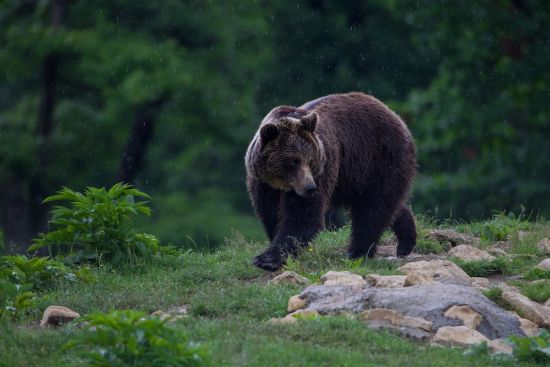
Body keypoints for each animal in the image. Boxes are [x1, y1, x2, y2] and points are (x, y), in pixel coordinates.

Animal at [246, 92, 418, 270]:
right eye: (294, 161)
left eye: (310, 160)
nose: (310, 188)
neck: (281, 183)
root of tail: (395, 116)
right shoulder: (263, 182)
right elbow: (270, 212)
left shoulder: (323, 168)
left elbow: (302, 216)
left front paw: (267, 259)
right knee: (387, 205)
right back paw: (406, 241)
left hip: (379, 159)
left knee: (373, 208)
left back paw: (358, 252)